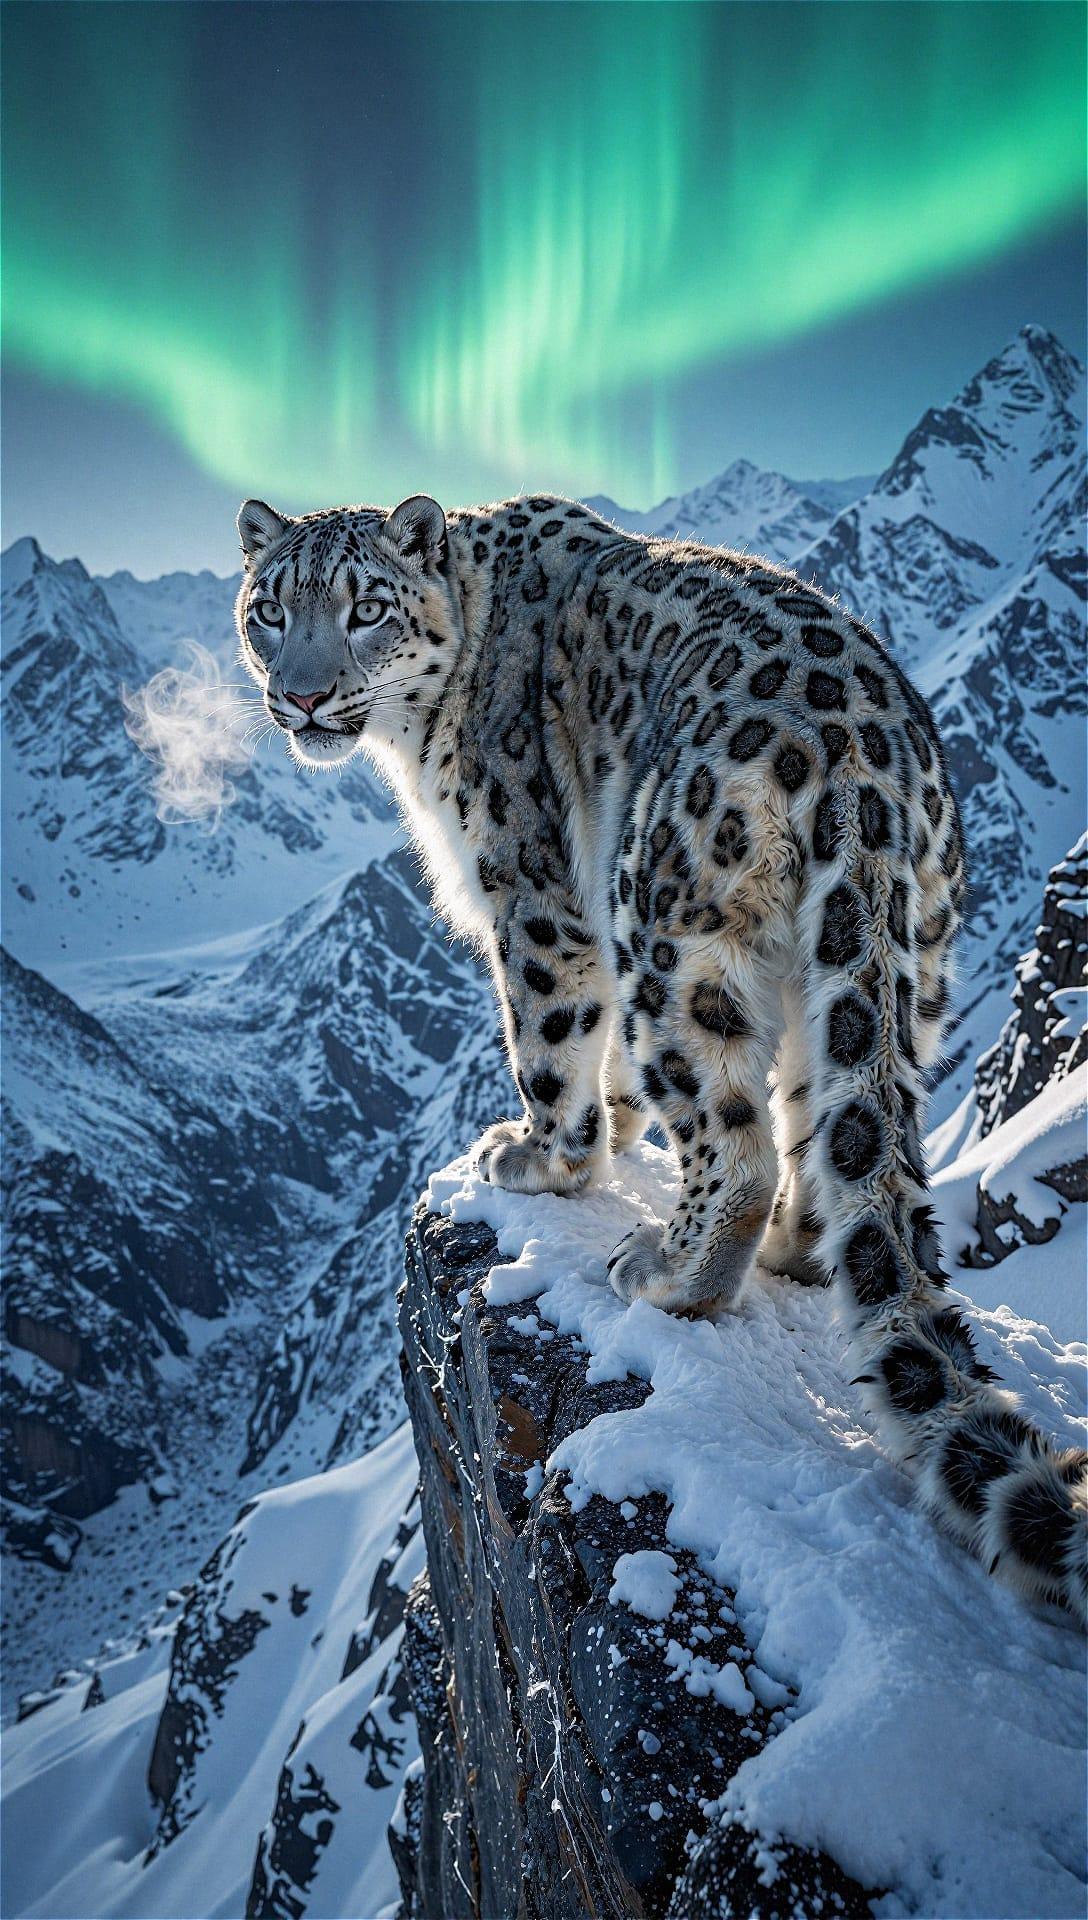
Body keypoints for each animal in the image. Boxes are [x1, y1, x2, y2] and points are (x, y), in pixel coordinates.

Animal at [235, 488, 1087, 1625]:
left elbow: (548, 1038)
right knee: (825, 1123)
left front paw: (541, 1156)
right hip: (896, 968)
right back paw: (793, 1246)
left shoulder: (534, 895)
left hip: (666, 924)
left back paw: (670, 1268)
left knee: (735, 1137)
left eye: (365, 607)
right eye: (269, 611)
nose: (303, 696)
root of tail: (865, 755)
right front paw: (612, 1129)